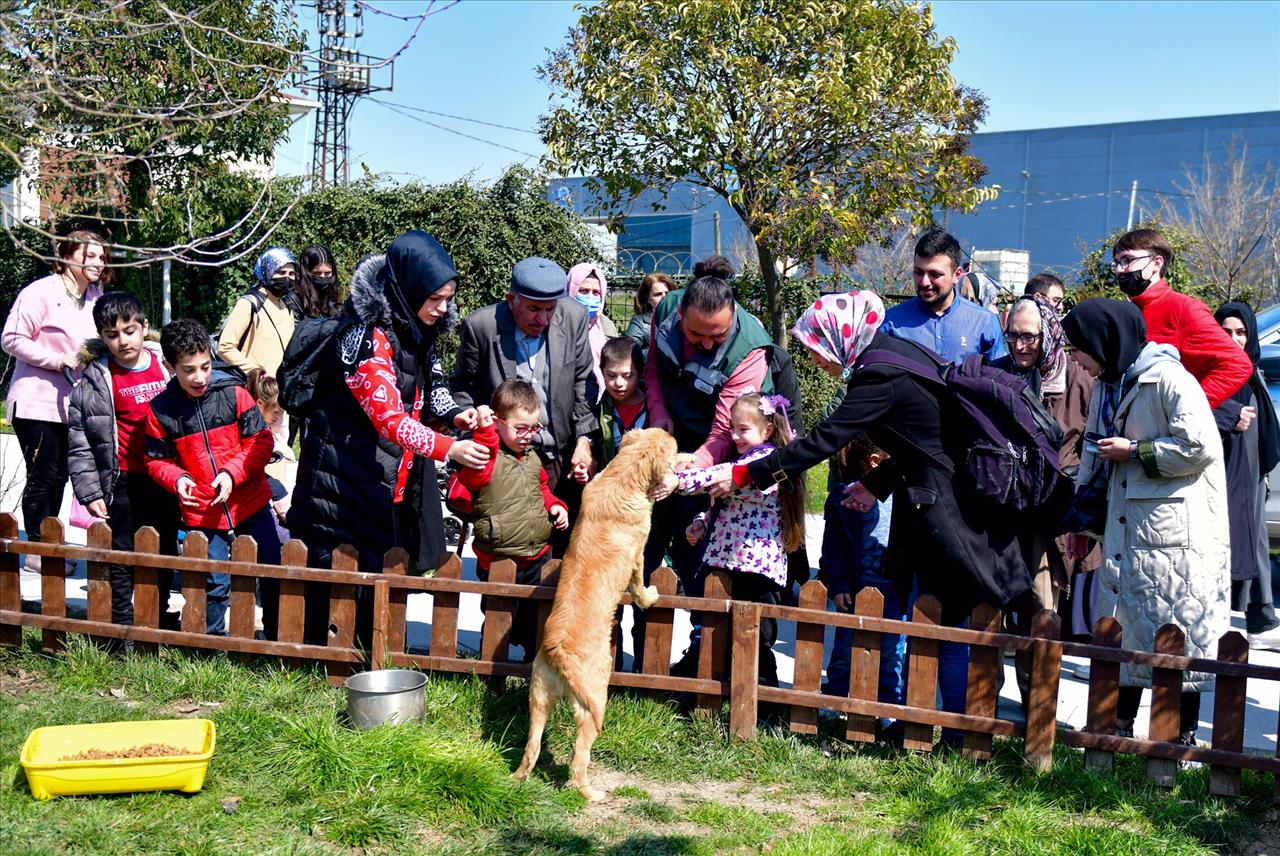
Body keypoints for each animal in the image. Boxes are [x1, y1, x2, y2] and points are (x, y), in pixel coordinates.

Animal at [514, 427, 686, 803]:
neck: (623, 476)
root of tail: (557, 652)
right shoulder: (638, 553)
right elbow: (640, 583)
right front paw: (650, 596)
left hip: (538, 697)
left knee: (532, 747)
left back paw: (519, 777)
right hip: (593, 703)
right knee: (578, 761)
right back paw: (590, 793)